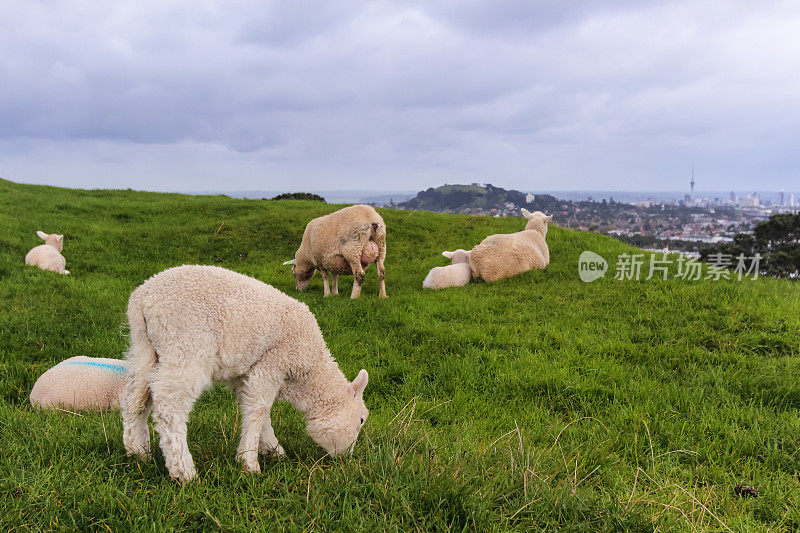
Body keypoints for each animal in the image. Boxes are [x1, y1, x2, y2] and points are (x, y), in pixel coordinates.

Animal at [122, 264, 372, 484]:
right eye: (361, 420)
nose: (346, 458)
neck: (309, 372)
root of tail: (142, 299)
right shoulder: (274, 362)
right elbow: (259, 409)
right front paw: (250, 463)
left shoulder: (245, 374)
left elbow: (255, 408)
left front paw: (272, 449)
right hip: (186, 347)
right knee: (169, 407)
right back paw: (183, 471)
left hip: (146, 349)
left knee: (135, 399)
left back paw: (138, 451)